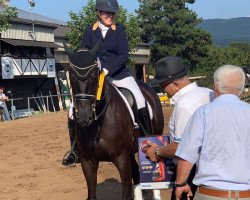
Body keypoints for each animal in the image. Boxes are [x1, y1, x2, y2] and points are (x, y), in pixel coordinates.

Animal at [64, 47, 164, 200]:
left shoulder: (121, 158)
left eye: (94, 77)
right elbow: (91, 195)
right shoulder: (87, 161)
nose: (84, 117)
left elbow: (126, 193)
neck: (97, 124)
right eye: (72, 77)